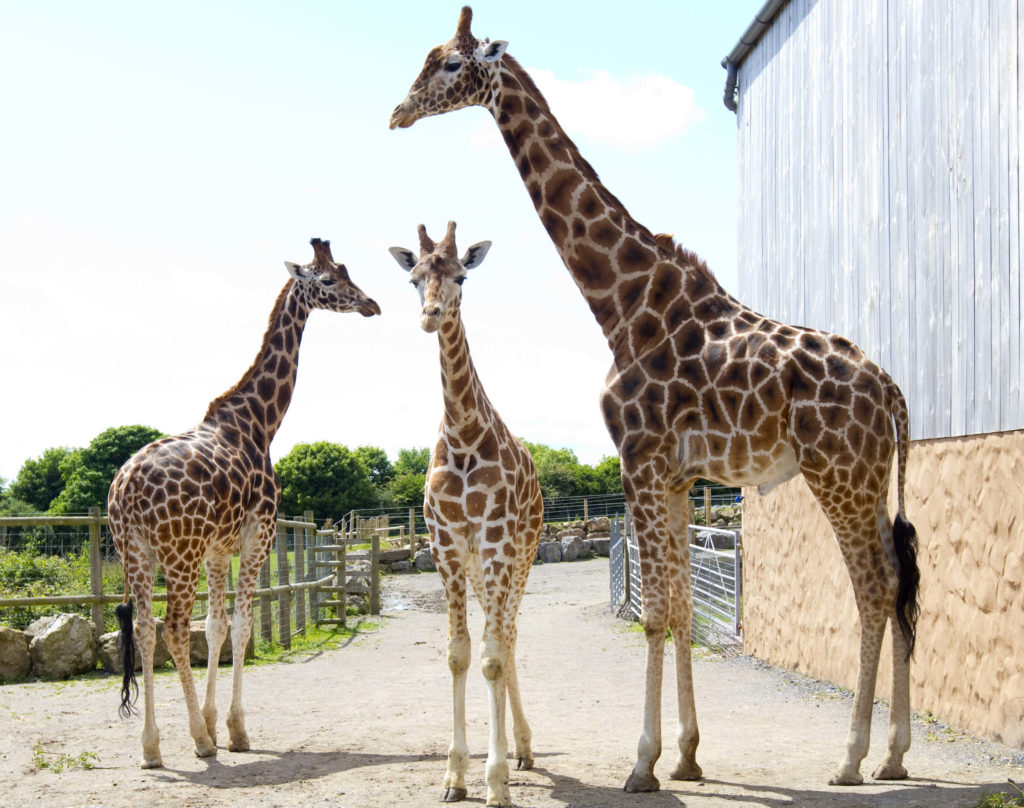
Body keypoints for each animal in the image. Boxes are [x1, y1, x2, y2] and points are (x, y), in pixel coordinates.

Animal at [109, 236, 380, 766]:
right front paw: (233, 731)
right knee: (173, 628)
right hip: (179, 553)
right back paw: (196, 741)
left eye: (346, 272)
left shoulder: (218, 550)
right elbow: (242, 624)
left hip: (136, 553)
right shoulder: (258, 536)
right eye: (328, 280)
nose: (371, 305)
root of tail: (125, 489)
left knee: (147, 629)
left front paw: (216, 722)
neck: (260, 423)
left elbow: (216, 626)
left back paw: (151, 747)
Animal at [387, 220, 544, 806]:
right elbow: (459, 654)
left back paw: (523, 750)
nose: (432, 314)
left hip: (521, 556)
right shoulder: (446, 546)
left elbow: (492, 657)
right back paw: (521, 750)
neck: (462, 433)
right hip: (480, 568)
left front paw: (494, 782)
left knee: (511, 635)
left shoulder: (497, 542)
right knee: (503, 635)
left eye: (462, 277)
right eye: (413, 278)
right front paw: (455, 775)